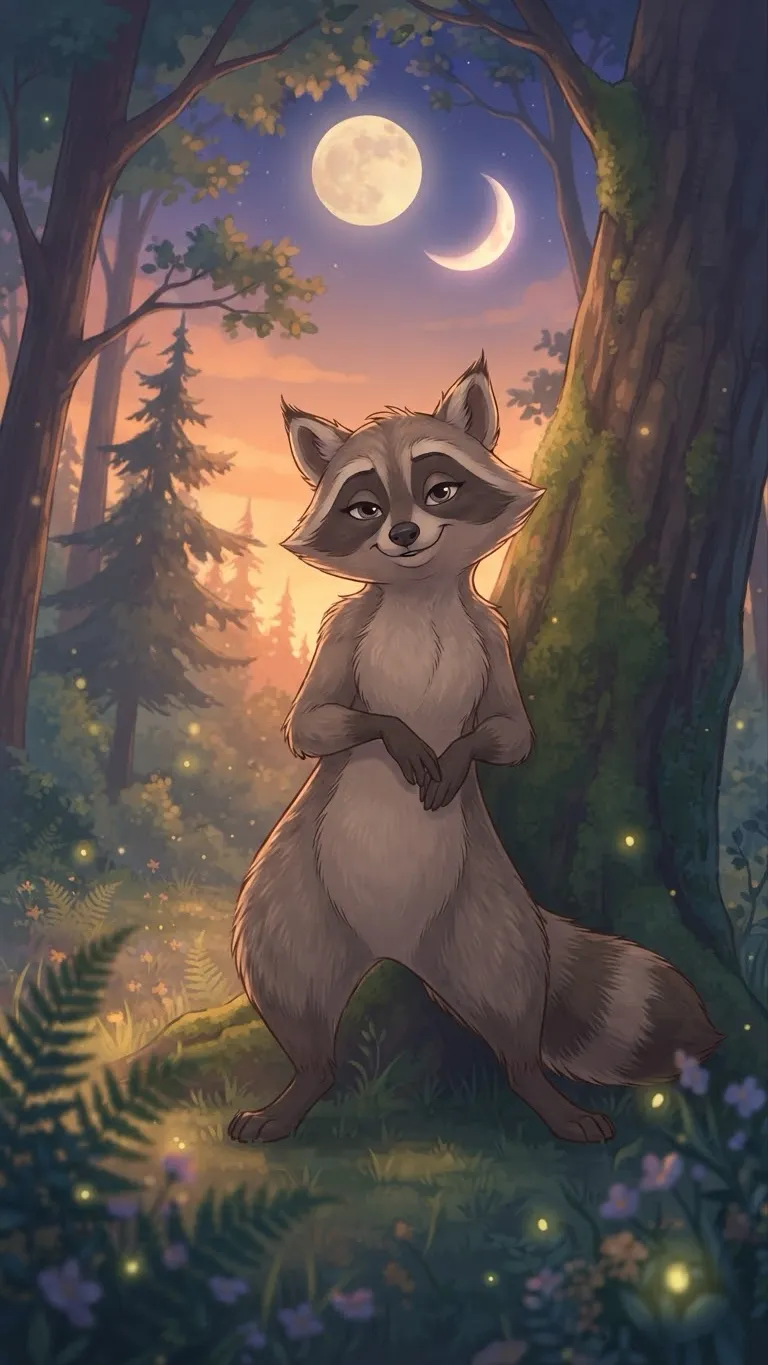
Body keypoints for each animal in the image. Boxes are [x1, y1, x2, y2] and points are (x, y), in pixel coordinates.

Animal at [230, 354, 721, 1146]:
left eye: (440, 489)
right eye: (365, 508)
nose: (404, 532)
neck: (420, 594)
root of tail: (391, 945)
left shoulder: (490, 634)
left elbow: (514, 732)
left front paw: (458, 752)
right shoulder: (345, 626)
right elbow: (309, 723)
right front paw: (398, 732)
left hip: (485, 917)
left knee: (517, 1010)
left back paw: (538, 1090)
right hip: (294, 899)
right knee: (291, 992)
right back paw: (303, 1084)